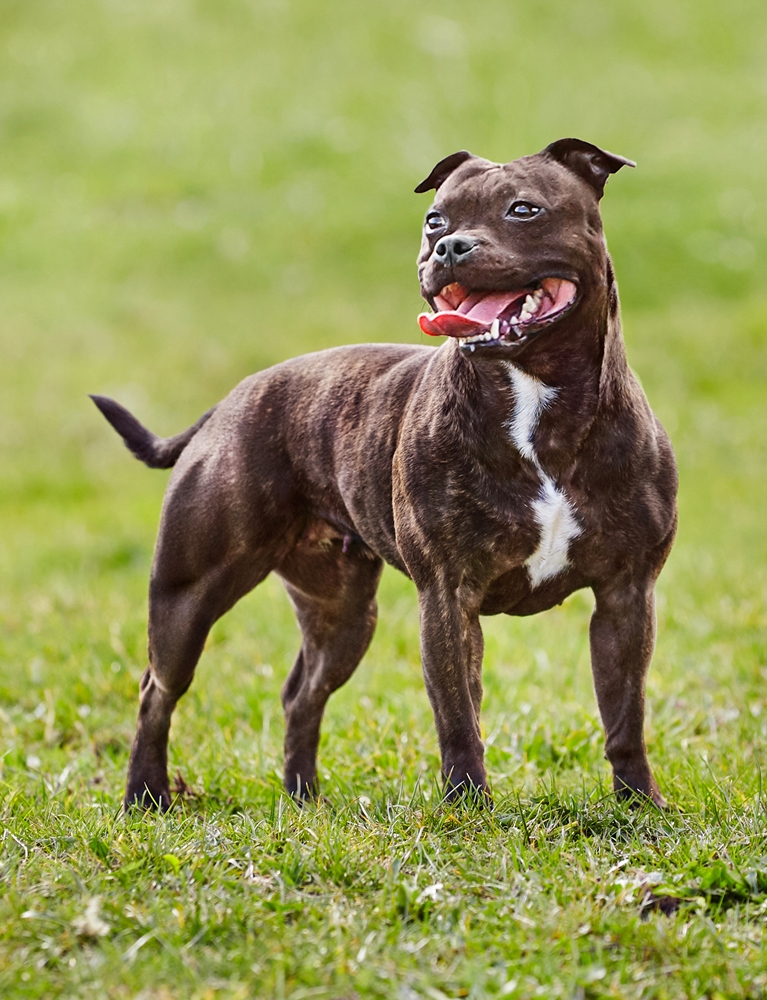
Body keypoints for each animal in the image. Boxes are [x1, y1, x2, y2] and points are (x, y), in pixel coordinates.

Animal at [94, 137, 680, 808]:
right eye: (435, 220)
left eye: (524, 210)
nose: (450, 247)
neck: (534, 398)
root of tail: (228, 403)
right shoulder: (448, 597)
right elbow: (458, 714)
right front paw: (467, 808)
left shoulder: (626, 596)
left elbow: (625, 713)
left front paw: (640, 804)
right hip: (189, 594)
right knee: (158, 690)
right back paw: (146, 794)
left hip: (343, 614)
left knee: (302, 694)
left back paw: (303, 799)